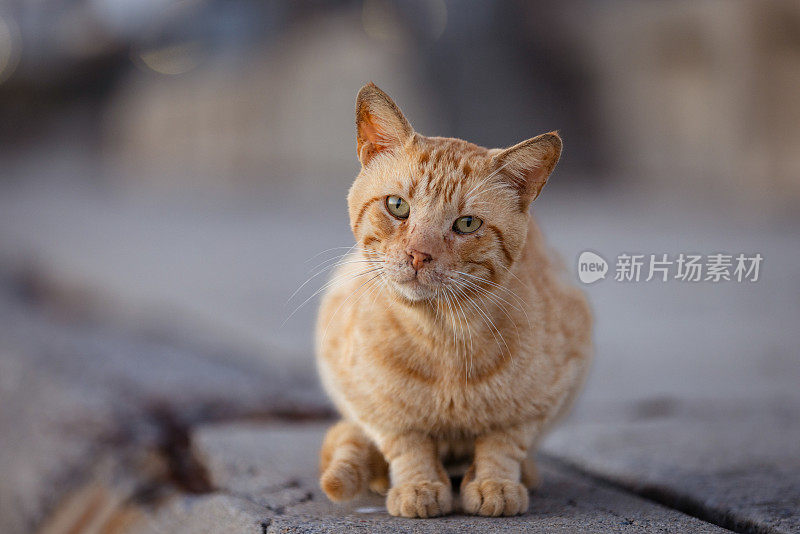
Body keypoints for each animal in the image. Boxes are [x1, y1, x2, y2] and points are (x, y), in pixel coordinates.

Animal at [316, 84, 592, 520]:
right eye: (397, 206)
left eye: (466, 224)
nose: (418, 254)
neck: (442, 336)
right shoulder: (369, 402)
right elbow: (407, 444)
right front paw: (418, 486)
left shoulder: (546, 397)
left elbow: (503, 443)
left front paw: (496, 484)